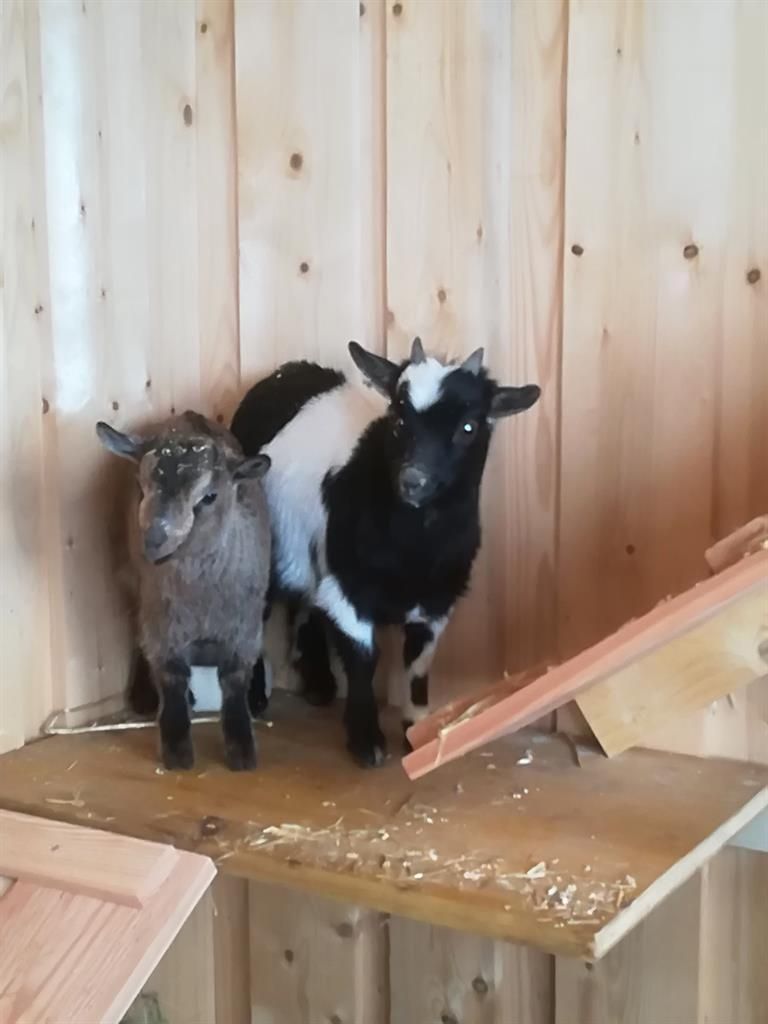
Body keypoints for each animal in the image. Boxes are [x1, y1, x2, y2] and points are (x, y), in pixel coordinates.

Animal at [96, 411, 271, 771]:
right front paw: (176, 751)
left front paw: (242, 751)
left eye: (209, 496)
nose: (153, 540)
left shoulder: (243, 632)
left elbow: (234, 683)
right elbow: (171, 679)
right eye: (141, 486)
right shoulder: (164, 630)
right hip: (134, 587)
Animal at [232, 339, 540, 767]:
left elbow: (418, 663)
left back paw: (319, 684)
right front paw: (367, 742)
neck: (414, 549)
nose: (413, 480)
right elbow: (364, 660)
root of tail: (285, 372)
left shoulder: (436, 600)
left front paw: (418, 728)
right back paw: (256, 697)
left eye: (468, 427)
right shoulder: (348, 589)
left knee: (305, 604)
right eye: (397, 417)